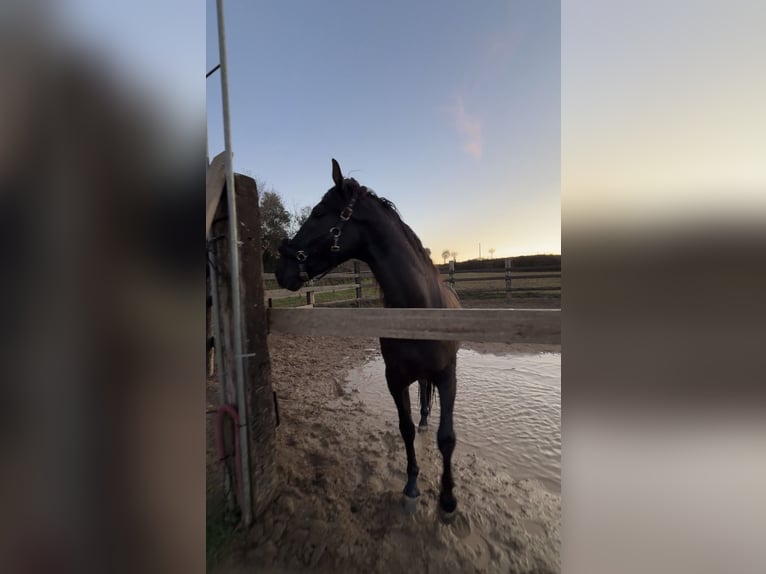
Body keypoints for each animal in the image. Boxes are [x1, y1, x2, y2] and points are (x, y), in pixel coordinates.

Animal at [275, 159, 461, 516]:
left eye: (318, 212)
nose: (280, 268)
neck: (419, 309)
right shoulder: (395, 379)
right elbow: (405, 429)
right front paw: (411, 486)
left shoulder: (448, 376)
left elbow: (447, 438)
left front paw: (447, 500)